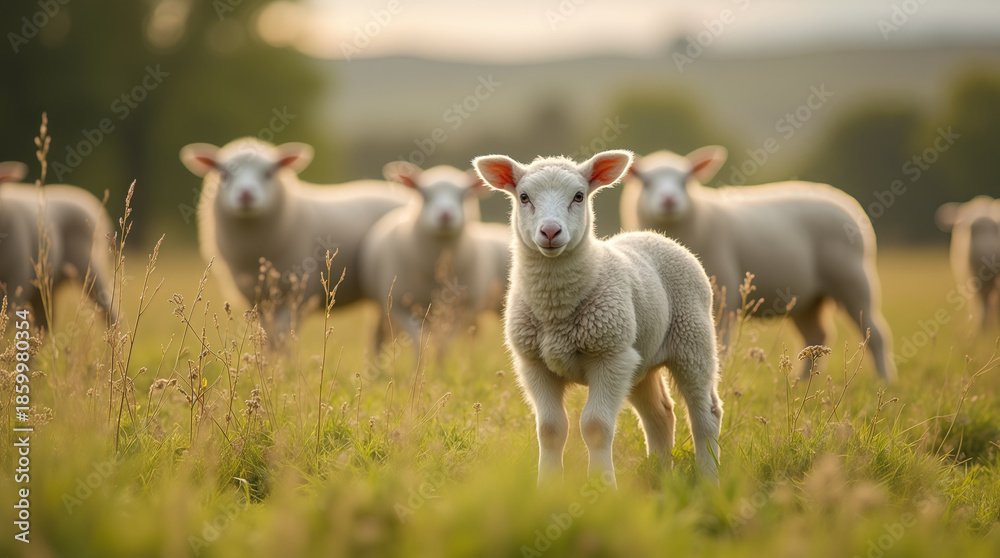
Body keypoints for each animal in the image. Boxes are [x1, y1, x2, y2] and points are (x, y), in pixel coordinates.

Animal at [180, 138, 414, 341]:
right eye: (223, 173)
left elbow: (283, 338)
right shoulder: (257, 299)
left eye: (268, 173)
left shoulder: (299, 294)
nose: (246, 195)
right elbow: (268, 339)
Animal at [360, 162, 510, 356]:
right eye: (424, 194)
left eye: (464, 195)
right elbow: (419, 343)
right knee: (378, 336)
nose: (445, 214)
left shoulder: (461, 310)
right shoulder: (401, 306)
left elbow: (442, 346)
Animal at [473, 149, 723, 487]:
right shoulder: (534, 364)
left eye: (579, 196)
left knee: (705, 414)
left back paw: (710, 479)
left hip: (692, 340)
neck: (556, 308)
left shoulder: (609, 356)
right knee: (660, 413)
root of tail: (655, 236)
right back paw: (660, 473)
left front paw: (602, 486)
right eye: (524, 197)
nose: (550, 232)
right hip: (639, 359)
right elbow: (550, 429)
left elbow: (595, 426)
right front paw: (547, 486)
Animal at [620, 146, 897, 382]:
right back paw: (802, 382)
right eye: (645, 181)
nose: (669, 200)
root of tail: (845, 202)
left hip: (853, 278)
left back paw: (885, 380)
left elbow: (721, 344)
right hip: (807, 297)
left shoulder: (724, 297)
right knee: (816, 337)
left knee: (875, 334)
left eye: (686, 180)